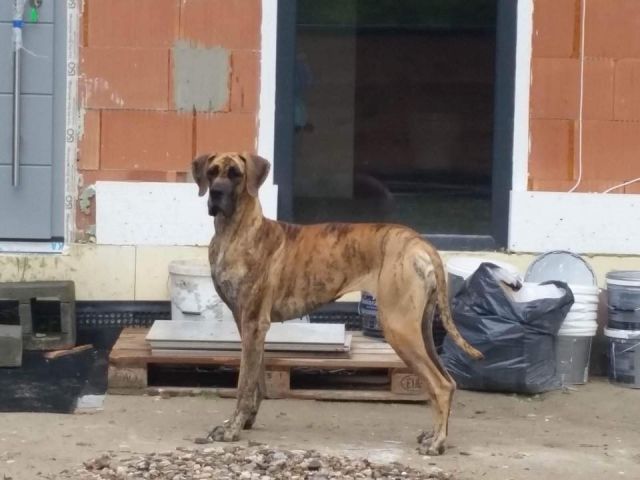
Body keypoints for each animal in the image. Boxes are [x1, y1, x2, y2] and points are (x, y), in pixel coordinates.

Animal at [192, 152, 482, 455]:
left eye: (235, 174)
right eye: (212, 172)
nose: (216, 193)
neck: (236, 230)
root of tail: (421, 243)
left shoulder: (252, 323)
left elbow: (243, 384)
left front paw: (231, 429)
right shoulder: (250, 326)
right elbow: (256, 379)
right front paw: (245, 421)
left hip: (399, 328)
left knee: (440, 385)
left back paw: (437, 442)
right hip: (421, 330)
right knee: (447, 381)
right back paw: (434, 435)